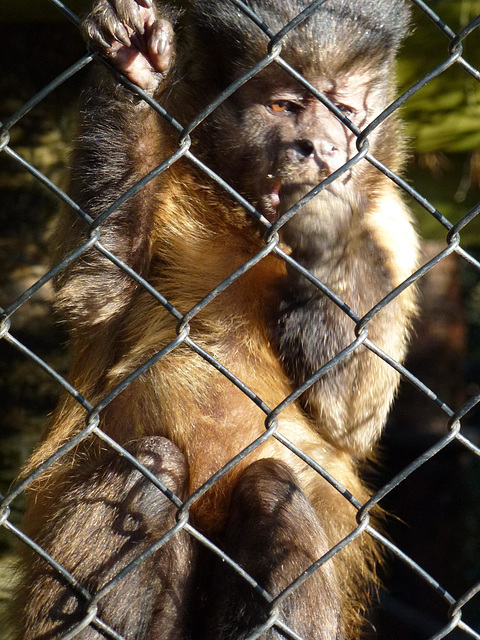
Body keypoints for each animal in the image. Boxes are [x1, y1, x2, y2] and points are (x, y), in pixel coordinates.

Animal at [9, 0, 418, 636]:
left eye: (345, 113)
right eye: (287, 106)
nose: (321, 148)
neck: (252, 229)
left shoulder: (393, 229)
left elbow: (354, 419)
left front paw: (324, 228)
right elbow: (93, 295)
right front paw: (135, 68)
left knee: (274, 486)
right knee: (151, 469)